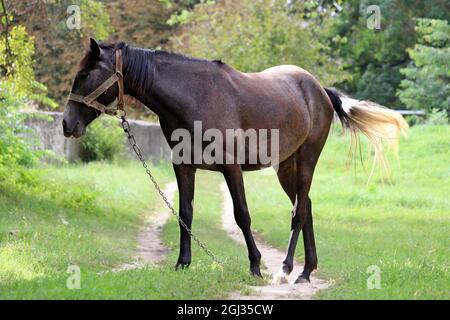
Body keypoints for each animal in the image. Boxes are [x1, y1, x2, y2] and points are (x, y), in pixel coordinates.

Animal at [63, 38, 408, 284]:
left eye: (85, 74)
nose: (67, 124)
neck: (195, 97)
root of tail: (319, 90)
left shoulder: (231, 168)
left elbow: (242, 215)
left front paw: (255, 265)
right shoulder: (183, 167)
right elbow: (185, 214)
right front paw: (182, 263)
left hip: (307, 160)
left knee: (298, 212)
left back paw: (286, 269)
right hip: (286, 167)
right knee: (306, 207)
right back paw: (306, 271)